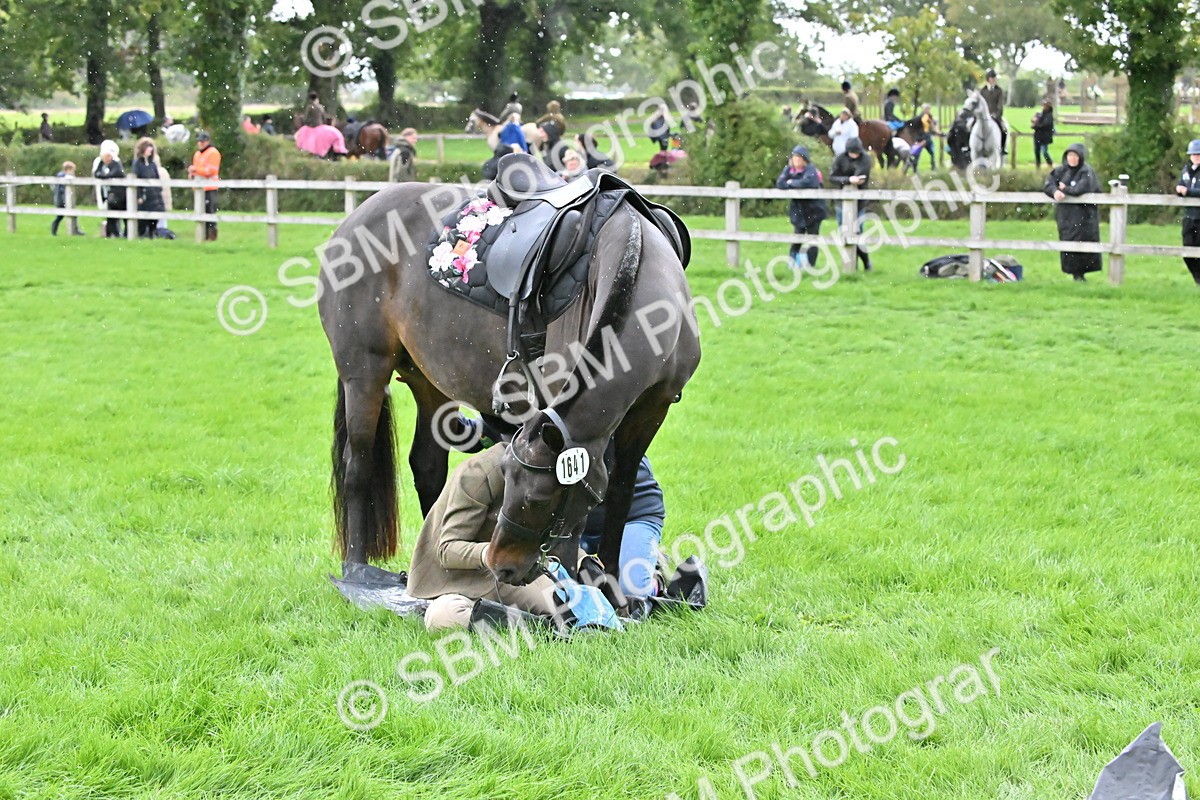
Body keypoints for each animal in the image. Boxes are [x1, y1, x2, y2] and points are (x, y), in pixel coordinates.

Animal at [318, 176, 701, 588]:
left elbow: (620, 491)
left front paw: (616, 586)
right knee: (357, 465)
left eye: (538, 499)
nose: (503, 563)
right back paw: (357, 568)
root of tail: (354, 218)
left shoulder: (650, 410)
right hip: (364, 373)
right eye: (507, 480)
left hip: (430, 381)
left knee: (428, 465)